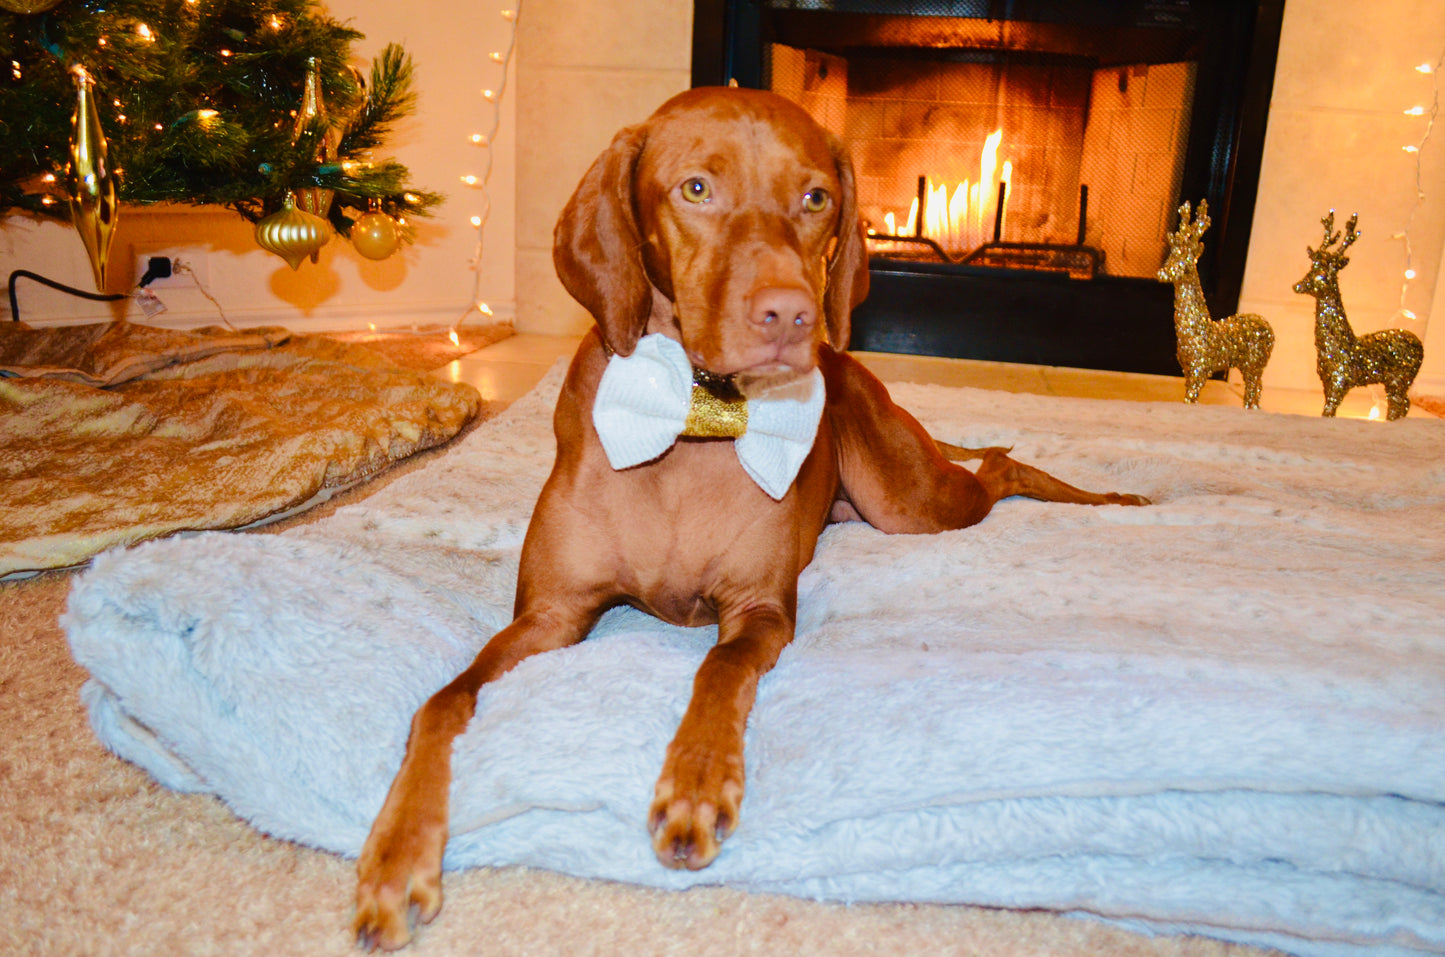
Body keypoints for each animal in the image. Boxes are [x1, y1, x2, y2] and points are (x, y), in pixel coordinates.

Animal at [355, 88, 1144, 954]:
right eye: (696, 189)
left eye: (816, 198)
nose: (792, 315)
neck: (690, 419)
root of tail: (853, 365)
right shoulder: (551, 614)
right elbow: (439, 703)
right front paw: (395, 857)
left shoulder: (759, 610)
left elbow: (718, 668)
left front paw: (695, 784)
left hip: (909, 501)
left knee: (1000, 468)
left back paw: (1108, 499)